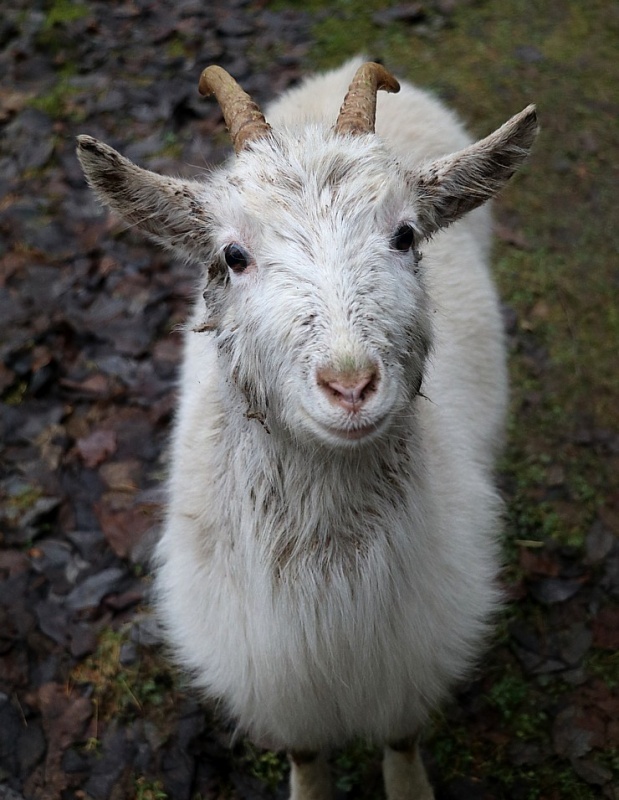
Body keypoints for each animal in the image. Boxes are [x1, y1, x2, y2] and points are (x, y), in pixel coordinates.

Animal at [77, 57, 536, 800]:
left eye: (406, 236)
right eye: (232, 255)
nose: (349, 386)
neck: (330, 591)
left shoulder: (411, 659)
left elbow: (402, 741)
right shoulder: (276, 683)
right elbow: (306, 755)